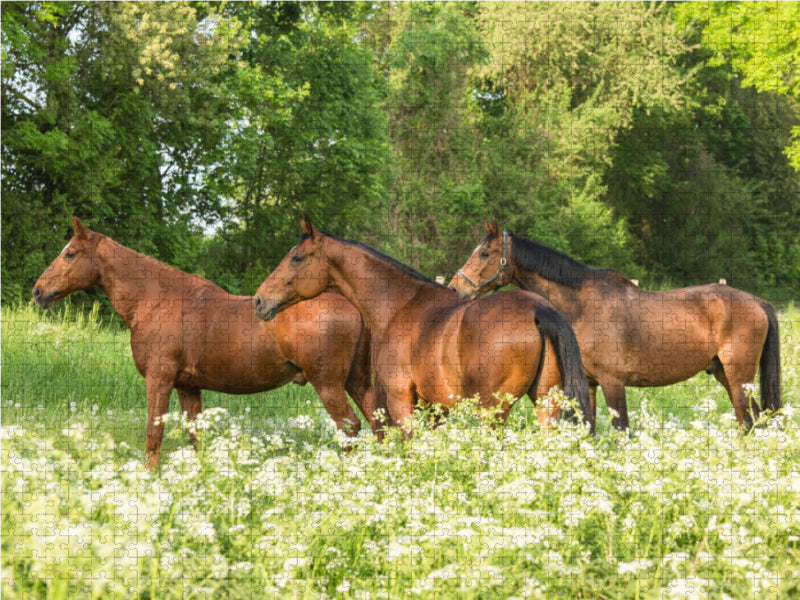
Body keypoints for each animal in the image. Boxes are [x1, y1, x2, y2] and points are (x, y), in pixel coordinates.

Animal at [33, 218, 383, 468]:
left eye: (70, 253)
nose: (38, 291)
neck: (155, 300)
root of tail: (355, 306)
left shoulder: (159, 380)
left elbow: (154, 435)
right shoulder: (188, 386)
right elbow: (194, 435)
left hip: (328, 384)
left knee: (351, 426)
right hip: (355, 382)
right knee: (377, 424)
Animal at [253, 216, 594, 434]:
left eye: (296, 258)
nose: (259, 300)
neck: (399, 304)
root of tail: (538, 309)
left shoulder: (401, 400)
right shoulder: (435, 409)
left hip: (493, 411)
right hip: (547, 404)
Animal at [449, 218, 782, 430]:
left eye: (484, 253)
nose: (456, 289)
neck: (582, 306)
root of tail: (757, 302)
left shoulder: (613, 383)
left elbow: (621, 431)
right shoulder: (591, 384)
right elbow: (591, 429)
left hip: (738, 378)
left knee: (748, 422)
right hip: (726, 375)